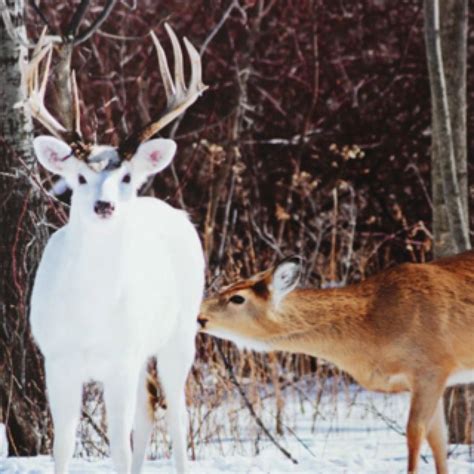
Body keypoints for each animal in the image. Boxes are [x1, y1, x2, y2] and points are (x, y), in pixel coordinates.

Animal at [24, 25, 206, 474]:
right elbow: (63, 445)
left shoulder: (120, 359)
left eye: (125, 176)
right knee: (147, 411)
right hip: (142, 352)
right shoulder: (58, 359)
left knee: (177, 413)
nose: (103, 206)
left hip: (179, 333)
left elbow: (118, 448)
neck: (91, 312)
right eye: (80, 177)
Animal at [197, 254, 474, 474]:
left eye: (237, 298)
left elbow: (415, 433)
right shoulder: (425, 381)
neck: (374, 327)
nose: (198, 314)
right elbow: (438, 441)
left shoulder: (431, 368)